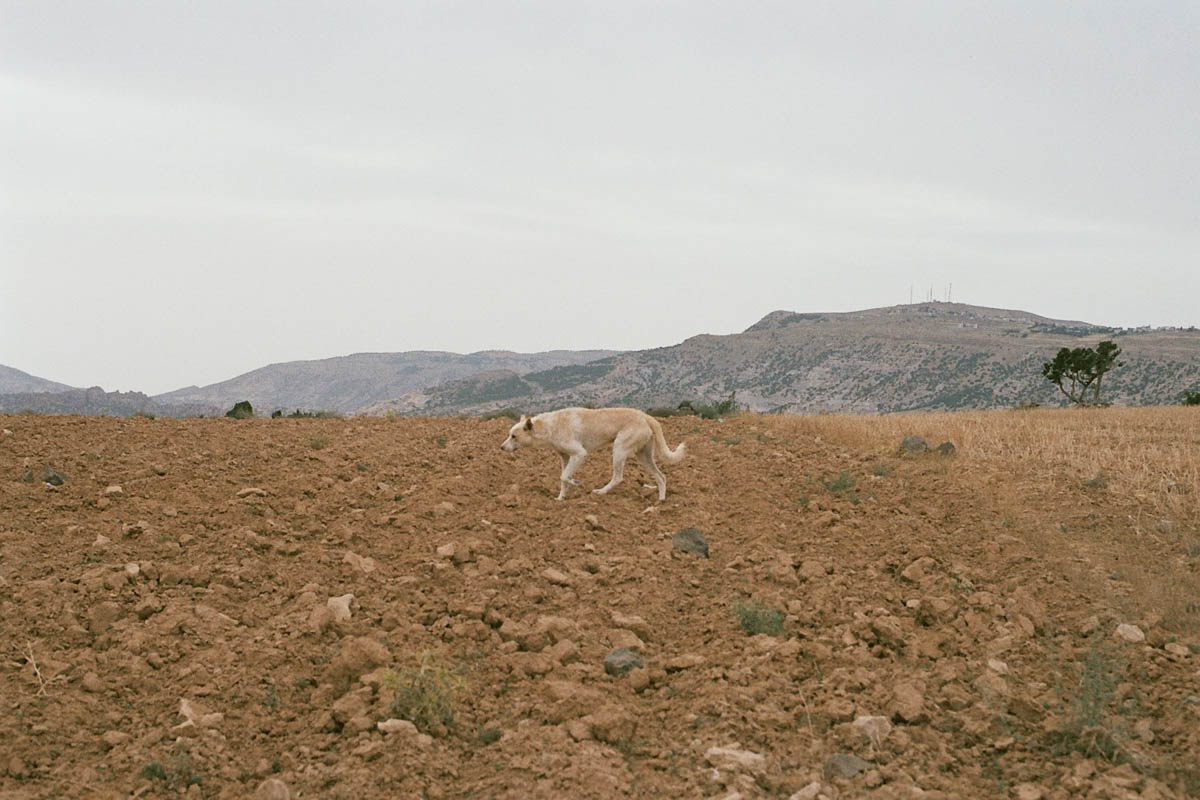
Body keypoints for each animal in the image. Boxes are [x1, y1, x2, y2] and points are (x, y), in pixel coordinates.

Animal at [496, 407, 686, 501]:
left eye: (514, 436)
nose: (501, 447)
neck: (549, 426)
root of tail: (646, 417)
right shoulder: (565, 457)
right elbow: (563, 478)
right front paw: (561, 498)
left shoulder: (580, 454)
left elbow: (564, 477)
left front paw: (576, 483)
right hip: (643, 456)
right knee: (661, 476)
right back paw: (660, 501)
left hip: (619, 449)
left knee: (618, 478)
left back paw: (601, 492)